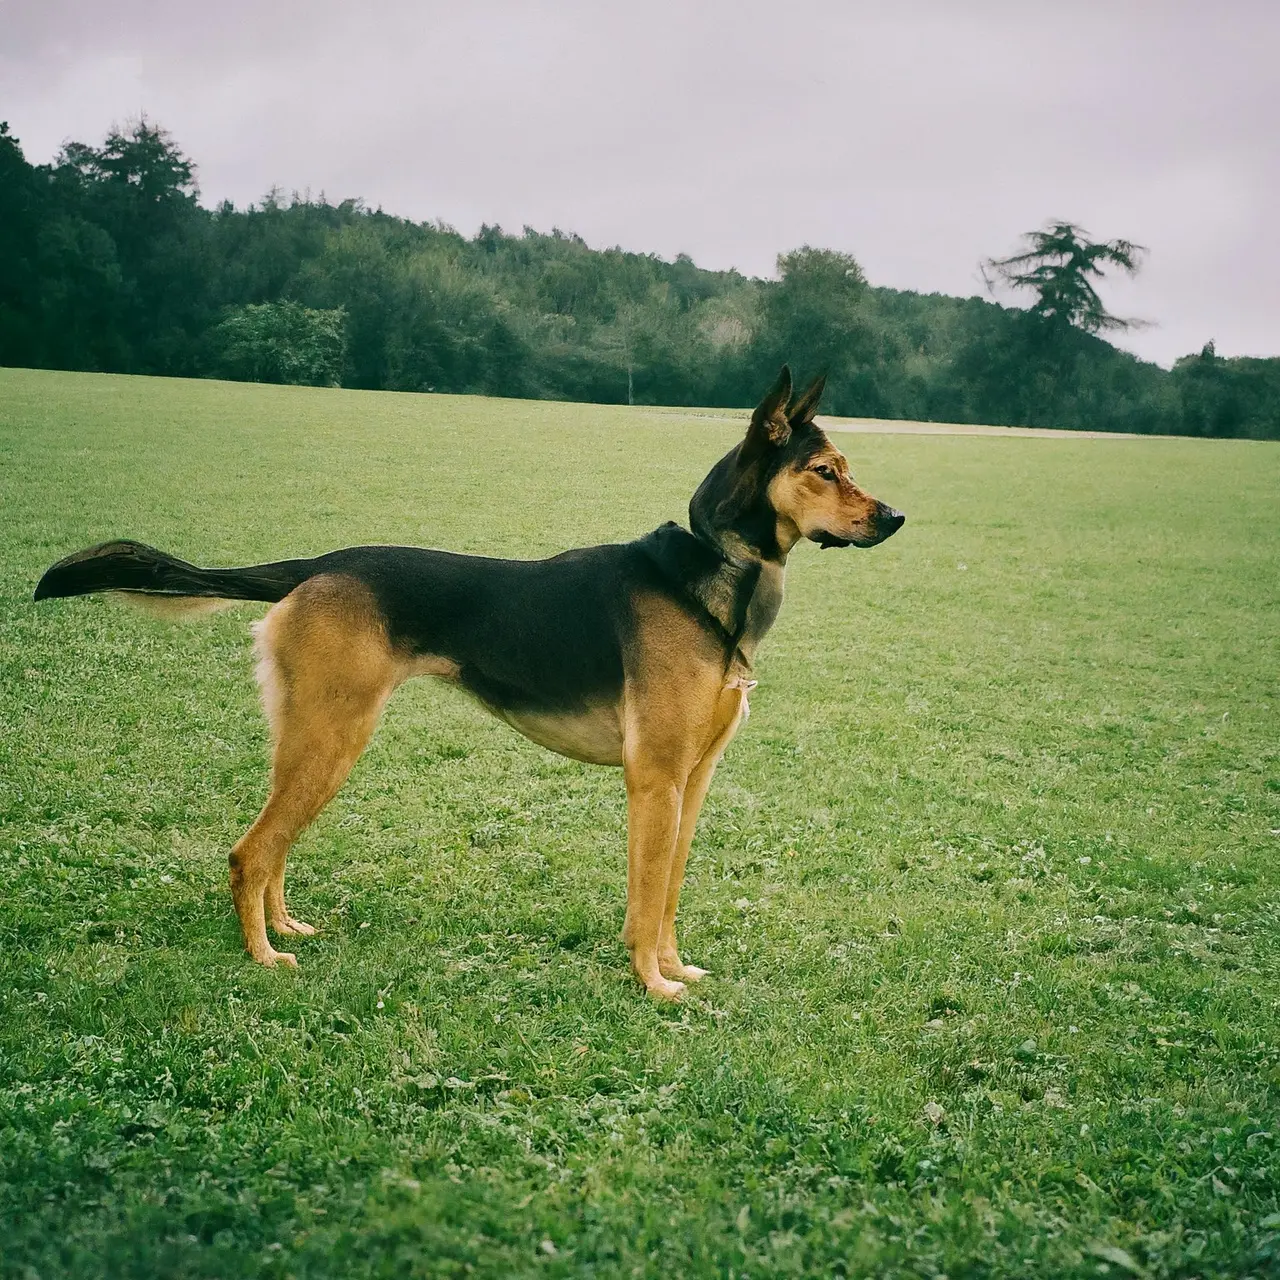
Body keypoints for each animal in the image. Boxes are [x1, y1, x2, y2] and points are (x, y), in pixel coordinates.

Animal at [35, 368, 906, 998]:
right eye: (825, 472)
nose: (895, 519)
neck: (710, 575)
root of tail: (317, 566)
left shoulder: (694, 781)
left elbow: (668, 894)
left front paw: (673, 967)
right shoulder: (653, 780)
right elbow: (646, 893)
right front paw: (653, 985)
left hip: (310, 739)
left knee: (273, 848)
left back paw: (284, 930)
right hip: (335, 740)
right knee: (250, 852)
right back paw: (261, 959)